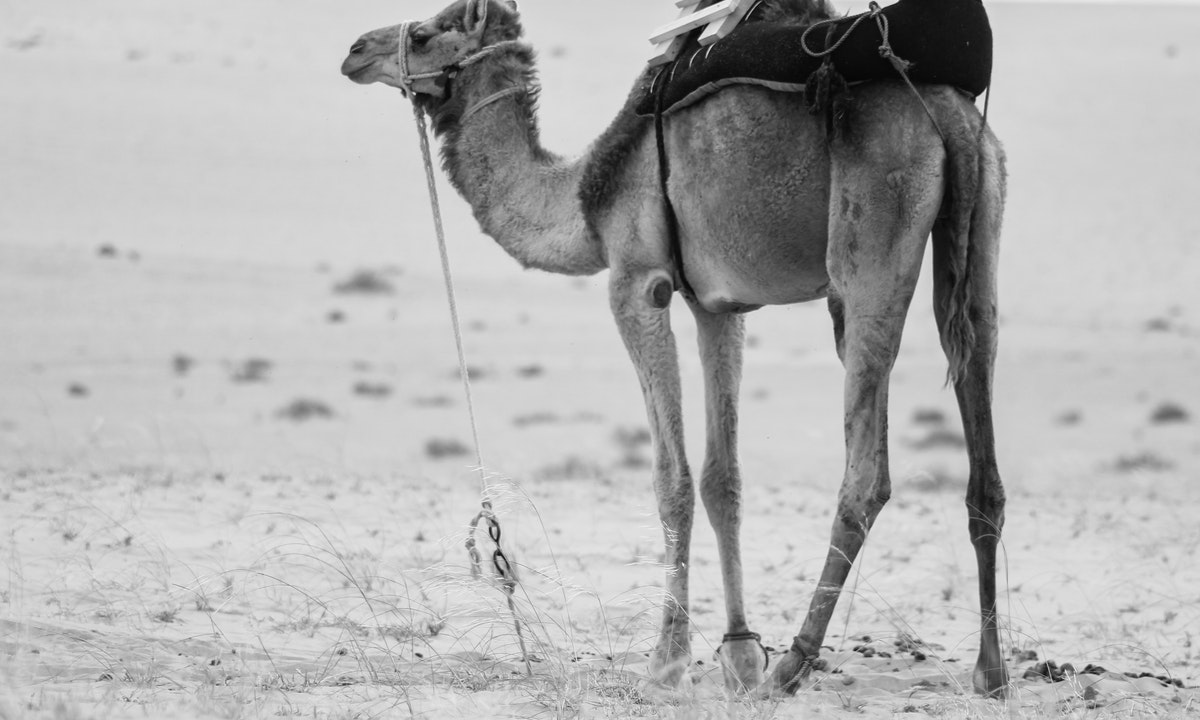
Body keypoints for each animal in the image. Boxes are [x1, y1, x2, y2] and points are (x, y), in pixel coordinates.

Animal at [341, 0, 1009, 698]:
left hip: (873, 237)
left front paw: (668, 661)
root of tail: (949, 116)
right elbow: (723, 480)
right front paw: (739, 656)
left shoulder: (639, 283)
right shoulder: (717, 306)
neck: (584, 194)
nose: (355, 50)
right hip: (981, 227)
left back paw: (794, 666)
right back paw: (990, 670)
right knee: (981, 436)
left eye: (423, 34)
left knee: (866, 478)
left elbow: (674, 479)